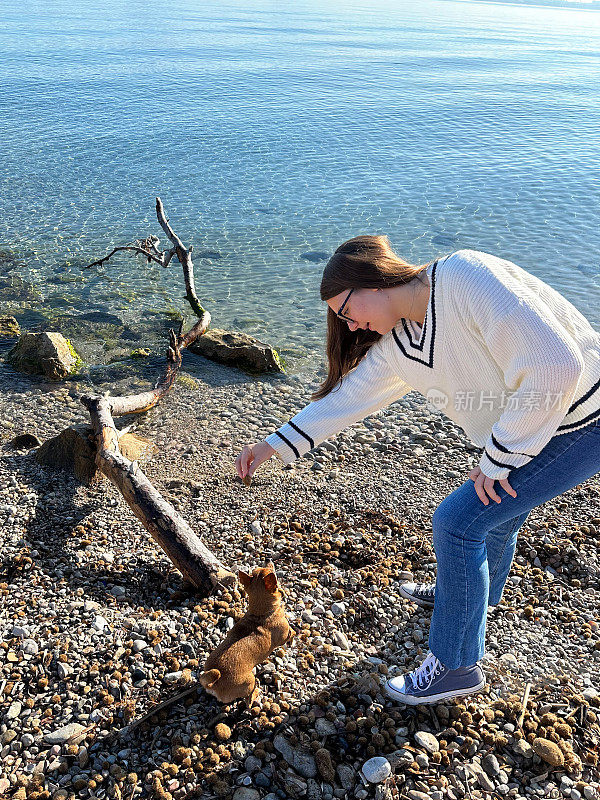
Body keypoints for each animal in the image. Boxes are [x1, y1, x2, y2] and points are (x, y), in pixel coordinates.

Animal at [199, 564, 292, 708]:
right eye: (272, 571)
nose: (269, 561)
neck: (260, 614)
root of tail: (215, 683)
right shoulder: (284, 635)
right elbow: (291, 632)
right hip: (250, 682)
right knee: (248, 700)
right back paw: (256, 694)